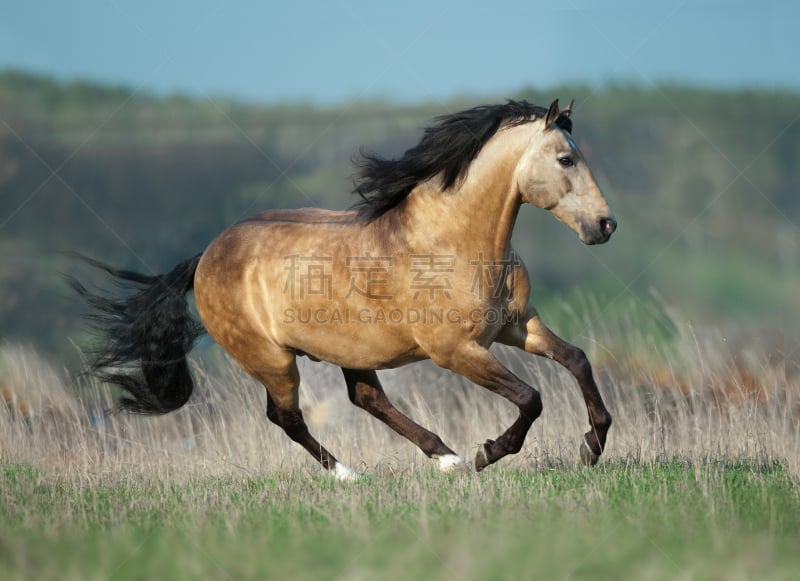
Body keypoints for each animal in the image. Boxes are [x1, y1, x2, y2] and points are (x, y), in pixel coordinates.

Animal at [72, 101, 616, 480]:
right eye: (565, 159)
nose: (605, 226)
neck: (449, 240)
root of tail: (205, 256)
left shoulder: (516, 325)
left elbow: (577, 361)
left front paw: (592, 446)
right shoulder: (455, 351)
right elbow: (531, 398)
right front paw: (489, 453)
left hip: (352, 350)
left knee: (365, 399)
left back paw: (446, 458)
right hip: (272, 360)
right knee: (286, 416)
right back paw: (353, 474)